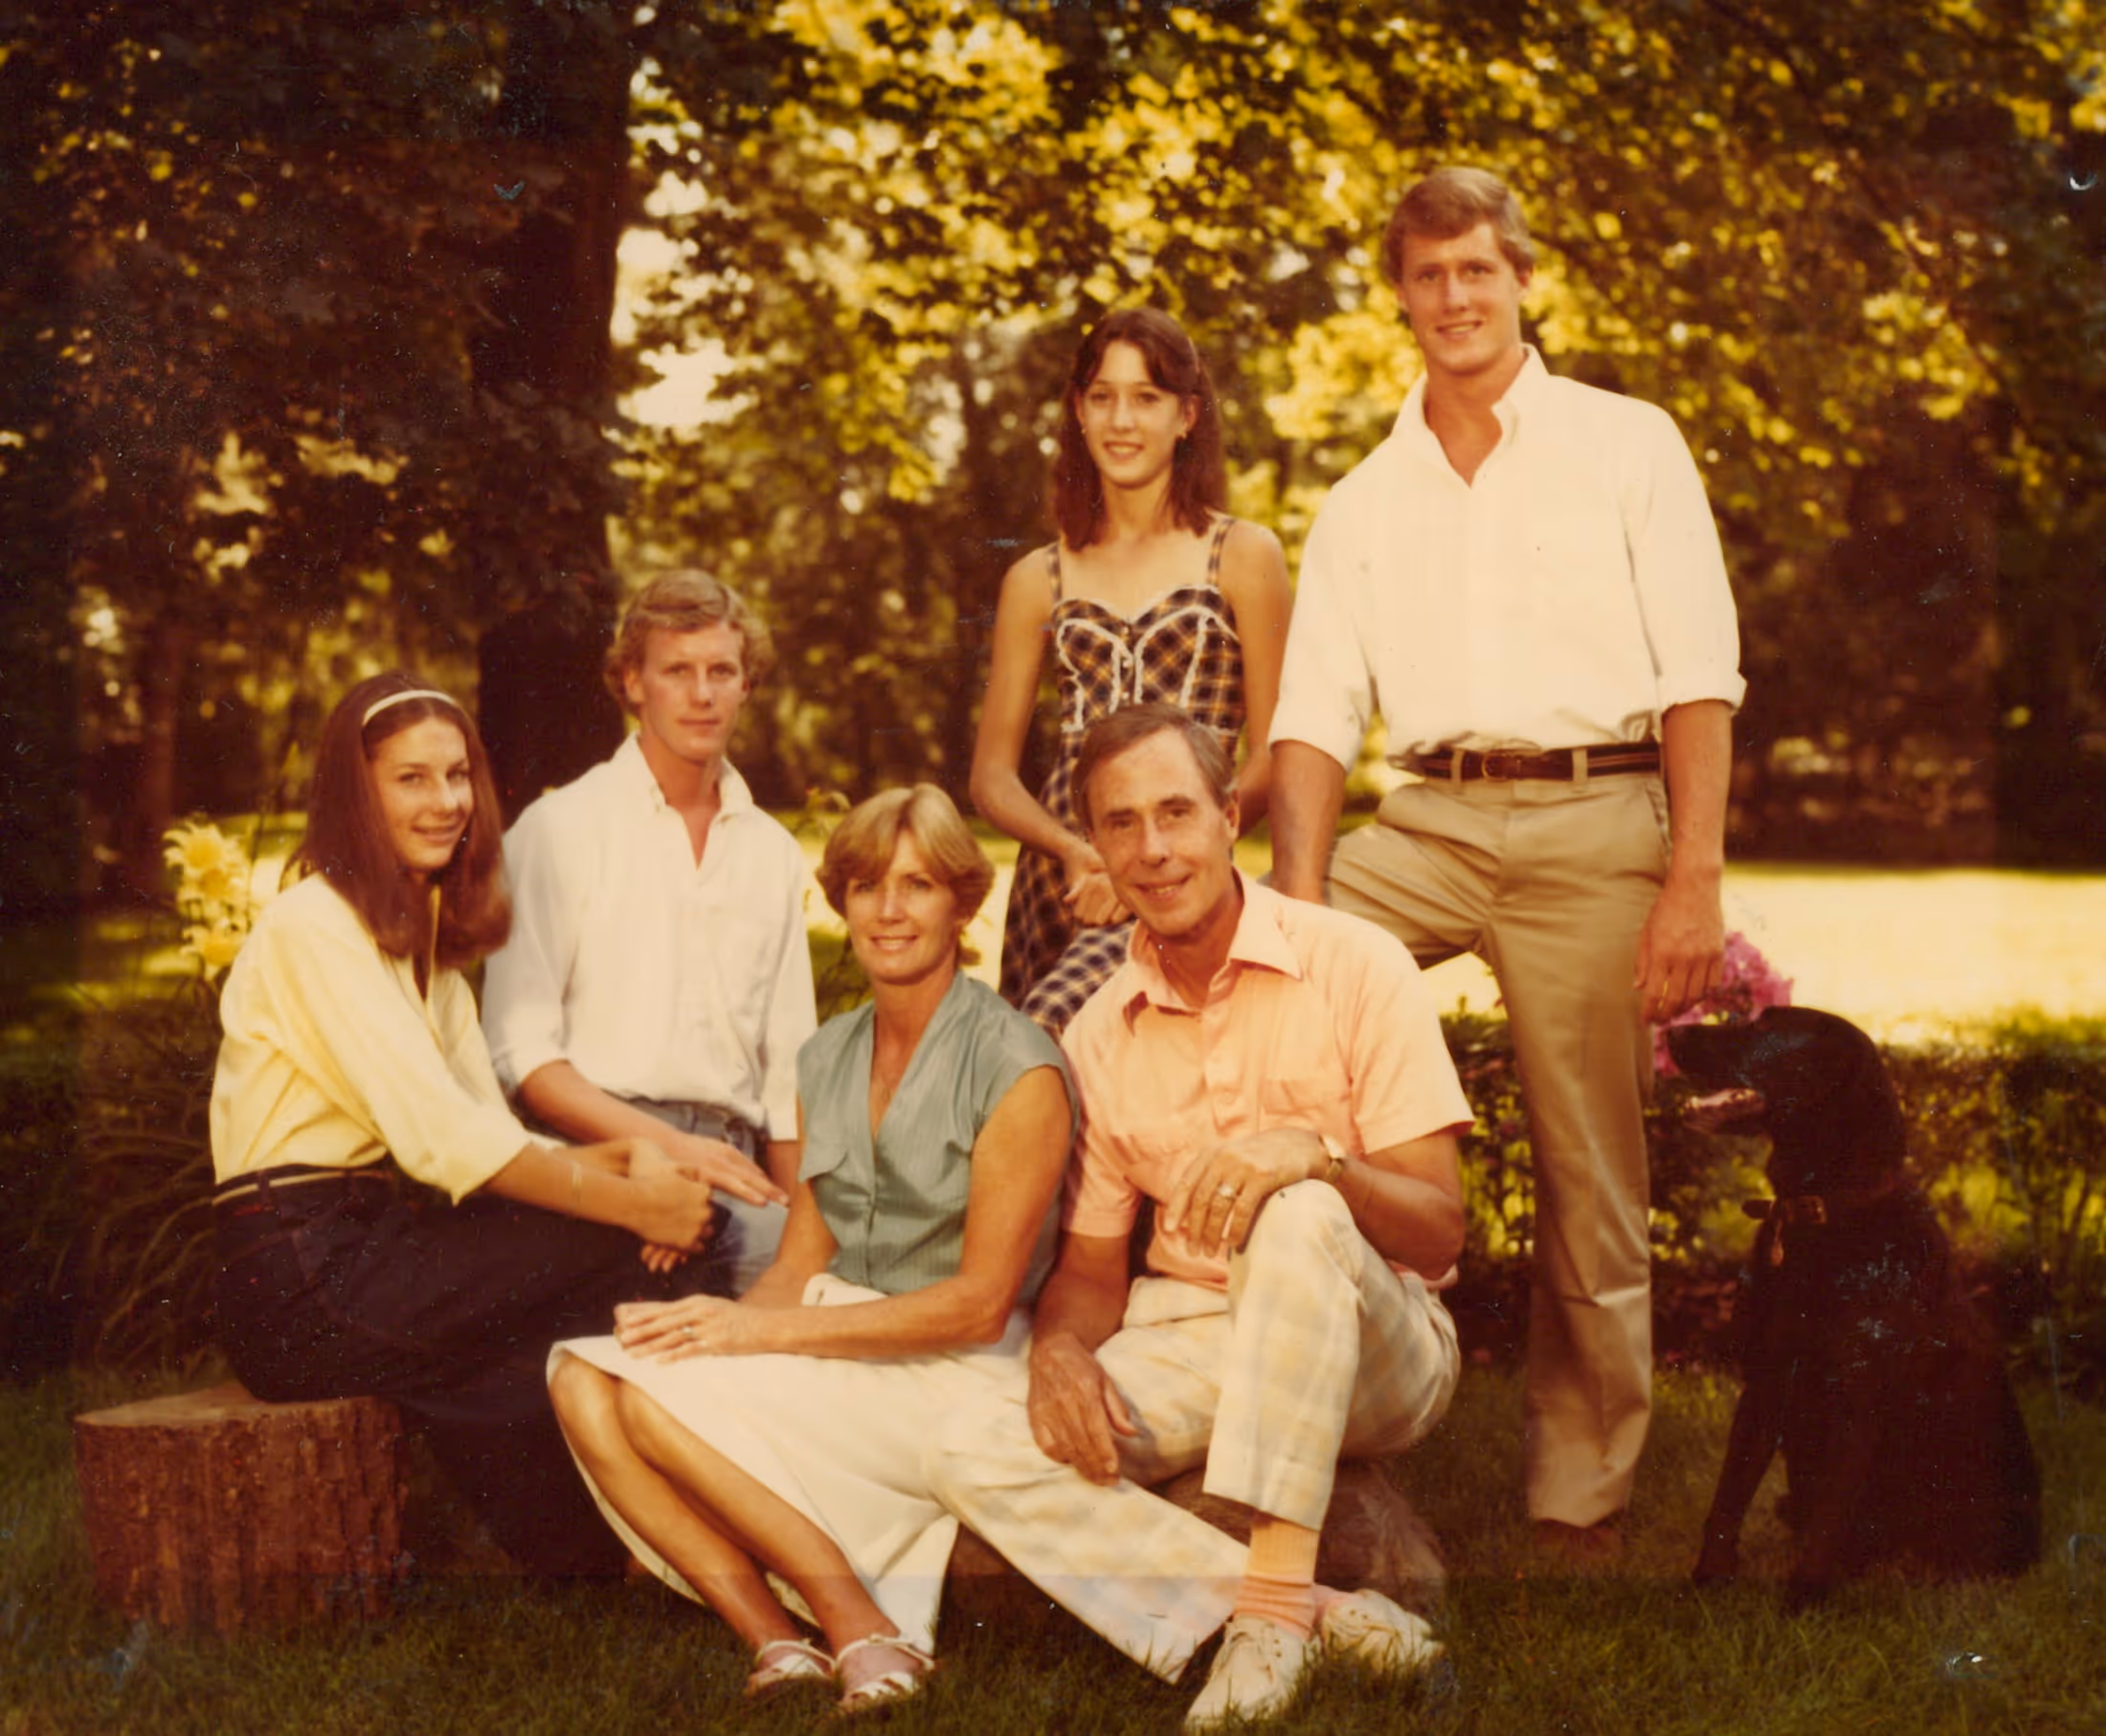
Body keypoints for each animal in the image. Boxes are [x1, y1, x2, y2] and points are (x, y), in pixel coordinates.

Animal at [1668, 1006, 2039, 1604]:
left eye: (1766, 1025)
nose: (1670, 1030)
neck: (1821, 1208)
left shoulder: (1857, 1400)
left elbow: (1829, 1516)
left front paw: (1802, 1603)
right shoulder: (1764, 1382)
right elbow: (1728, 1496)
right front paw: (1709, 1582)